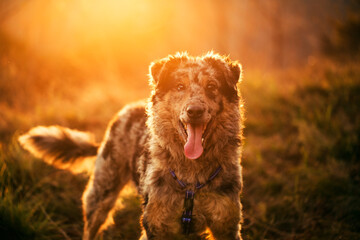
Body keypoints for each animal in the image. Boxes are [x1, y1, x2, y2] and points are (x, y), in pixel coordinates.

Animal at [19, 51, 245, 239]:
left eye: (212, 86)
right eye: (180, 86)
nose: (195, 111)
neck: (192, 180)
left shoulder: (226, 225)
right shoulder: (156, 226)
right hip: (101, 194)